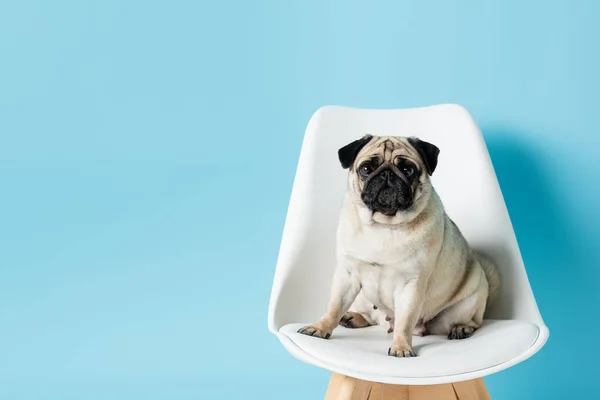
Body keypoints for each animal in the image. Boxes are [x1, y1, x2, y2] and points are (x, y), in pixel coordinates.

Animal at [298, 136, 500, 358]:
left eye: (408, 169)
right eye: (366, 168)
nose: (387, 173)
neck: (383, 225)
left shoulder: (410, 284)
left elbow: (405, 321)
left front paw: (401, 347)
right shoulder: (347, 274)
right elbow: (334, 306)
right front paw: (320, 327)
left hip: (462, 308)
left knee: (474, 322)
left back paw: (462, 328)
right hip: (363, 298)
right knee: (371, 315)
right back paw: (353, 317)